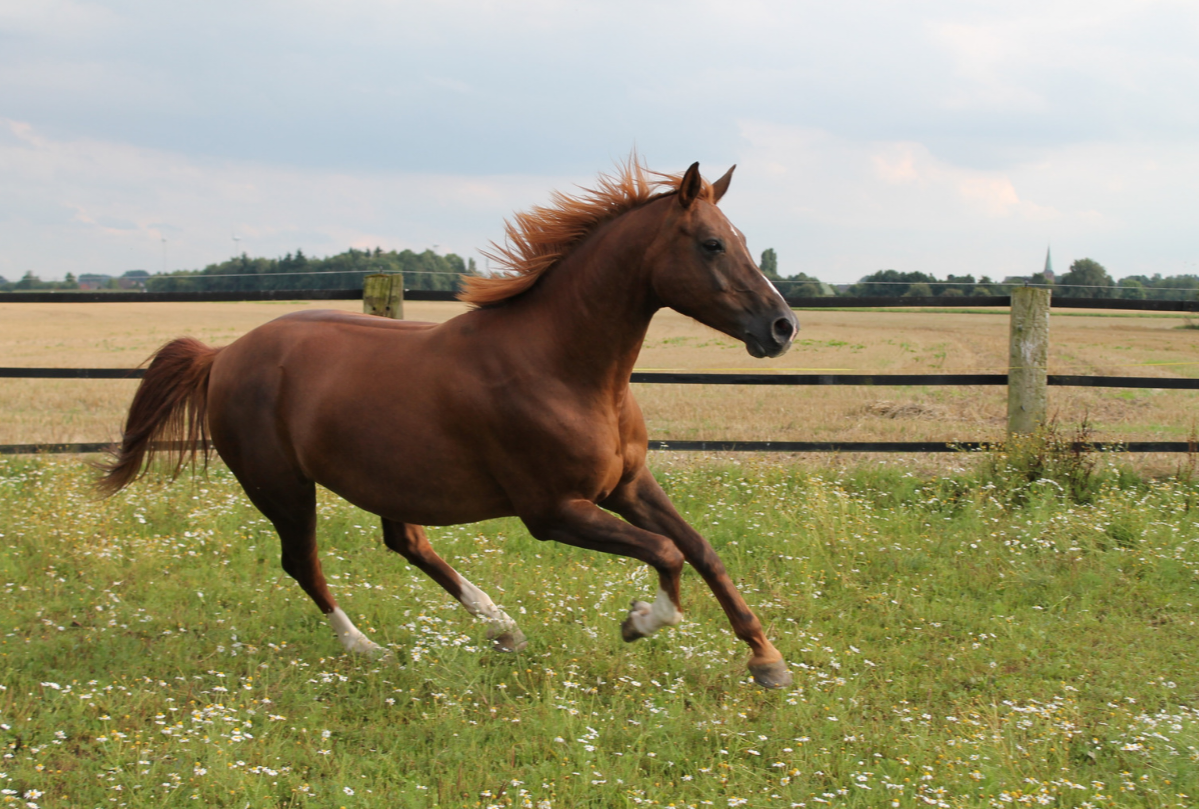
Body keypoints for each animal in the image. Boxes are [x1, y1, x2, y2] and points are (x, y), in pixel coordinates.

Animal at [100, 162, 796, 690]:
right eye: (711, 244)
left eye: (739, 237)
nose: (782, 327)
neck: (563, 366)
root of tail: (223, 356)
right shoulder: (553, 511)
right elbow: (667, 551)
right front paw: (640, 621)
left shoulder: (627, 484)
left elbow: (700, 548)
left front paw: (767, 661)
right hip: (282, 487)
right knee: (304, 562)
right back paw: (369, 649)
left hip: (385, 478)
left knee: (405, 543)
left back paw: (502, 627)